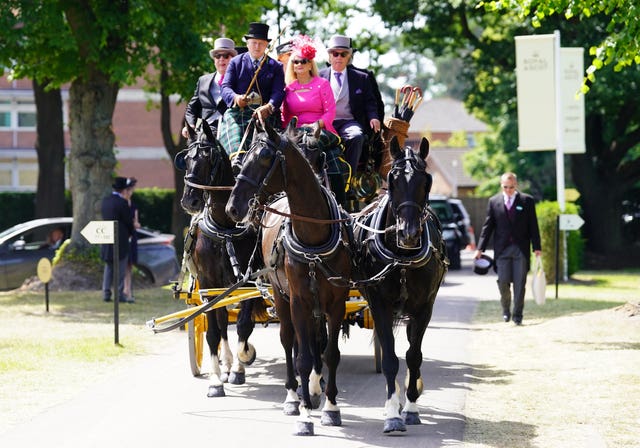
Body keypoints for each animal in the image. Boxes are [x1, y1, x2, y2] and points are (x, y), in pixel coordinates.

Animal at [174, 121, 266, 398]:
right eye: (186, 159)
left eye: (208, 159)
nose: (189, 200)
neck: (225, 227)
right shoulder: (208, 284)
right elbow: (214, 332)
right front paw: (216, 380)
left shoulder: (247, 282)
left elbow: (245, 326)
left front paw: (241, 363)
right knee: (223, 322)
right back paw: (224, 363)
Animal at [228, 121, 352, 436]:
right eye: (242, 159)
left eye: (263, 158)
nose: (232, 208)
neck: (314, 237)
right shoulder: (298, 301)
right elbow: (302, 357)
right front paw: (304, 414)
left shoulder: (337, 302)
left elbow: (330, 354)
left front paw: (331, 408)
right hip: (281, 295)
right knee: (288, 341)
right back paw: (292, 397)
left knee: (315, 341)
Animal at [352, 136, 448, 434]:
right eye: (392, 180)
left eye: (426, 180)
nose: (409, 234)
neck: (402, 258)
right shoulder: (380, 305)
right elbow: (390, 359)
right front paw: (393, 414)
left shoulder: (424, 308)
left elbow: (414, 356)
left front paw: (411, 408)